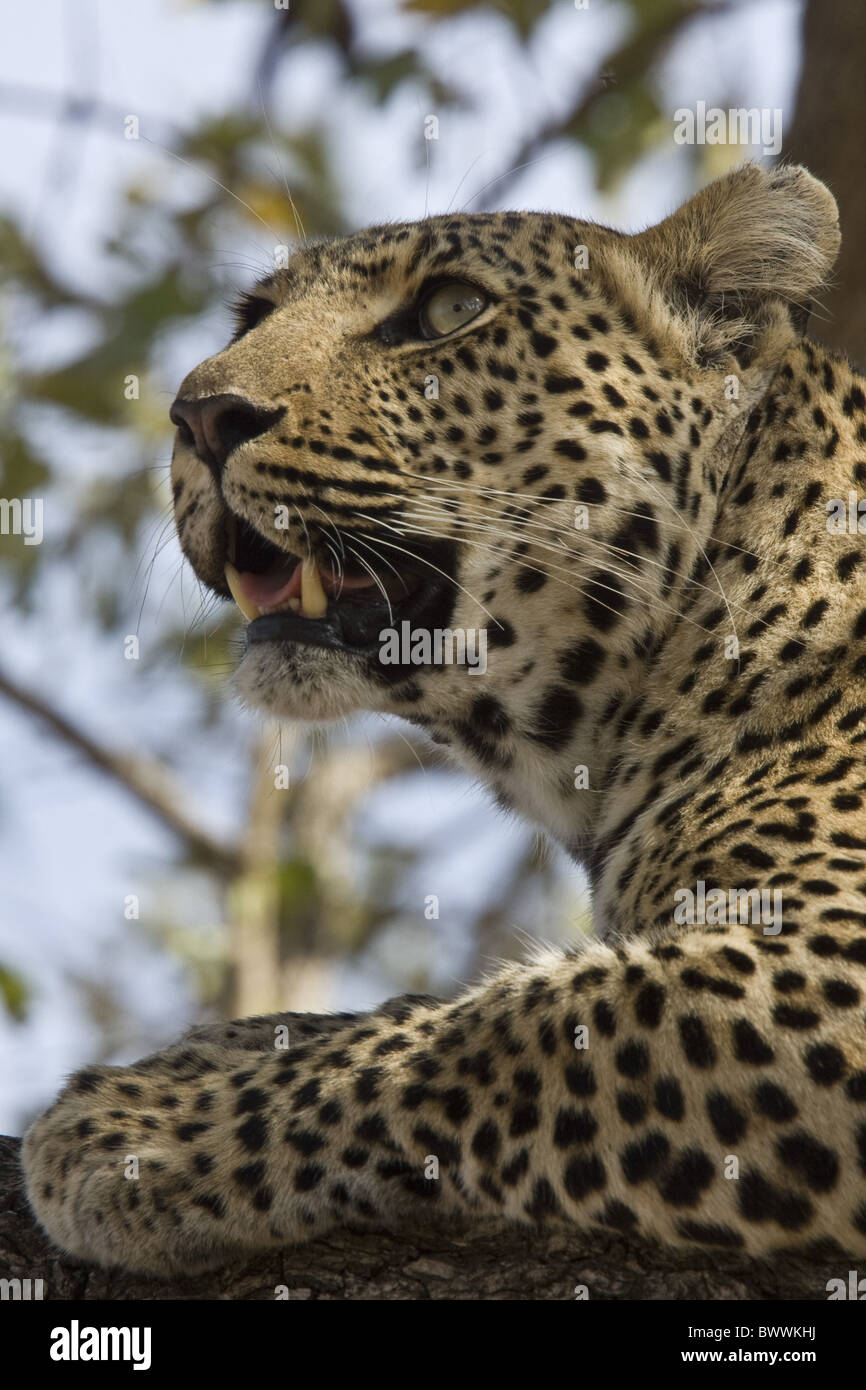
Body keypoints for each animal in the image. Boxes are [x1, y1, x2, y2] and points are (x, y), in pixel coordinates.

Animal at [21, 162, 866, 1276]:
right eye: (253, 316)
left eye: (450, 311)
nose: (199, 416)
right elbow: (432, 1006)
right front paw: (221, 1045)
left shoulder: (824, 961)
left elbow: (500, 1026)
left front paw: (142, 1132)